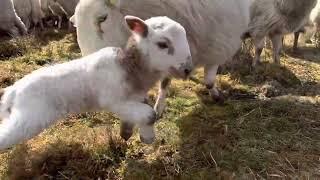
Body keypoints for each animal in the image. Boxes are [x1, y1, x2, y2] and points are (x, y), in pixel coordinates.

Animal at [0, 15, 192, 150]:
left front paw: (135, 135)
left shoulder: (134, 99)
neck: (128, 66)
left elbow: (143, 115)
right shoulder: (113, 100)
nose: (188, 69)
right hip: (30, 117)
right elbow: (150, 115)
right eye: (163, 44)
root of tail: (13, 91)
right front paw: (142, 136)